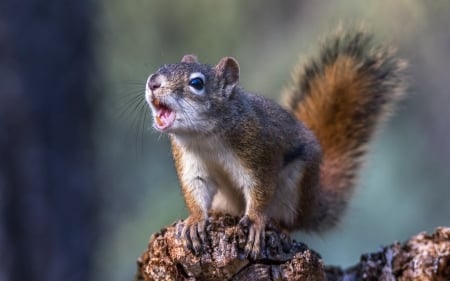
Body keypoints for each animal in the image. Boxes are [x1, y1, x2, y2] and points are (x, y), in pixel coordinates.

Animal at [145, 27, 408, 258]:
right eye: (161, 68)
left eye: (197, 83)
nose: (152, 82)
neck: (205, 136)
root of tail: (313, 203)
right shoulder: (190, 160)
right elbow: (196, 188)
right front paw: (196, 220)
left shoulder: (260, 152)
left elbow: (260, 188)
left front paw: (255, 221)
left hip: (295, 187)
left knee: (292, 222)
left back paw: (280, 229)